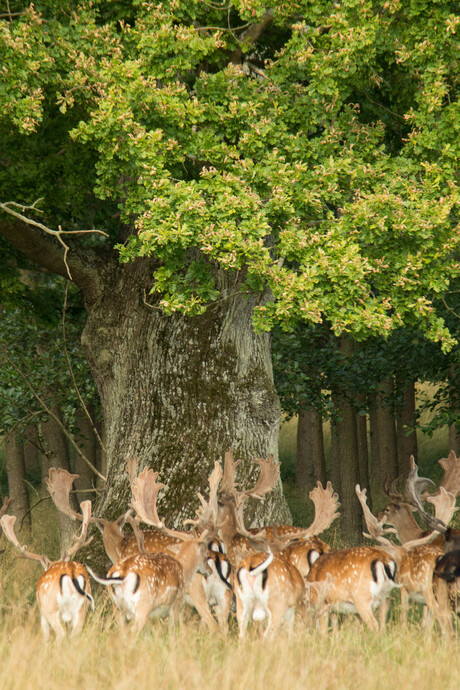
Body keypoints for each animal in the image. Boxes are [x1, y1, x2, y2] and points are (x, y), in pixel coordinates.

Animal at [0, 498, 94, 636]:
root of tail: (70, 577)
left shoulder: (42, 611)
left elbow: (45, 634)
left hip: (51, 607)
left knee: (61, 634)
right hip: (82, 606)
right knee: (75, 632)